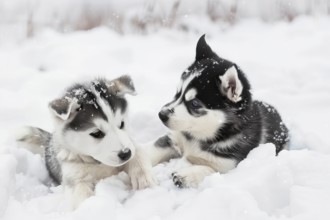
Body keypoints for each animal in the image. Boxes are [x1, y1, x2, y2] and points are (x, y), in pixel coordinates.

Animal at [17, 75, 156, 210]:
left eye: (121, 124)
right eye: (96, 133)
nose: (125, 153)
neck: (99, 163)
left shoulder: (131, 142)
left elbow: (138, 153)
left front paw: (143, 178)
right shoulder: (74, 175)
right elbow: (80, 193)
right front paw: (90, 206)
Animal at [148, 35, 288, 188]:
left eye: (194, 103)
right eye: (178, 93)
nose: (161, 115)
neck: (199, 137)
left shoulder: (228, 165)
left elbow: (209, 169)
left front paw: (187, 175)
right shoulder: (173, 139)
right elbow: (150, 151)